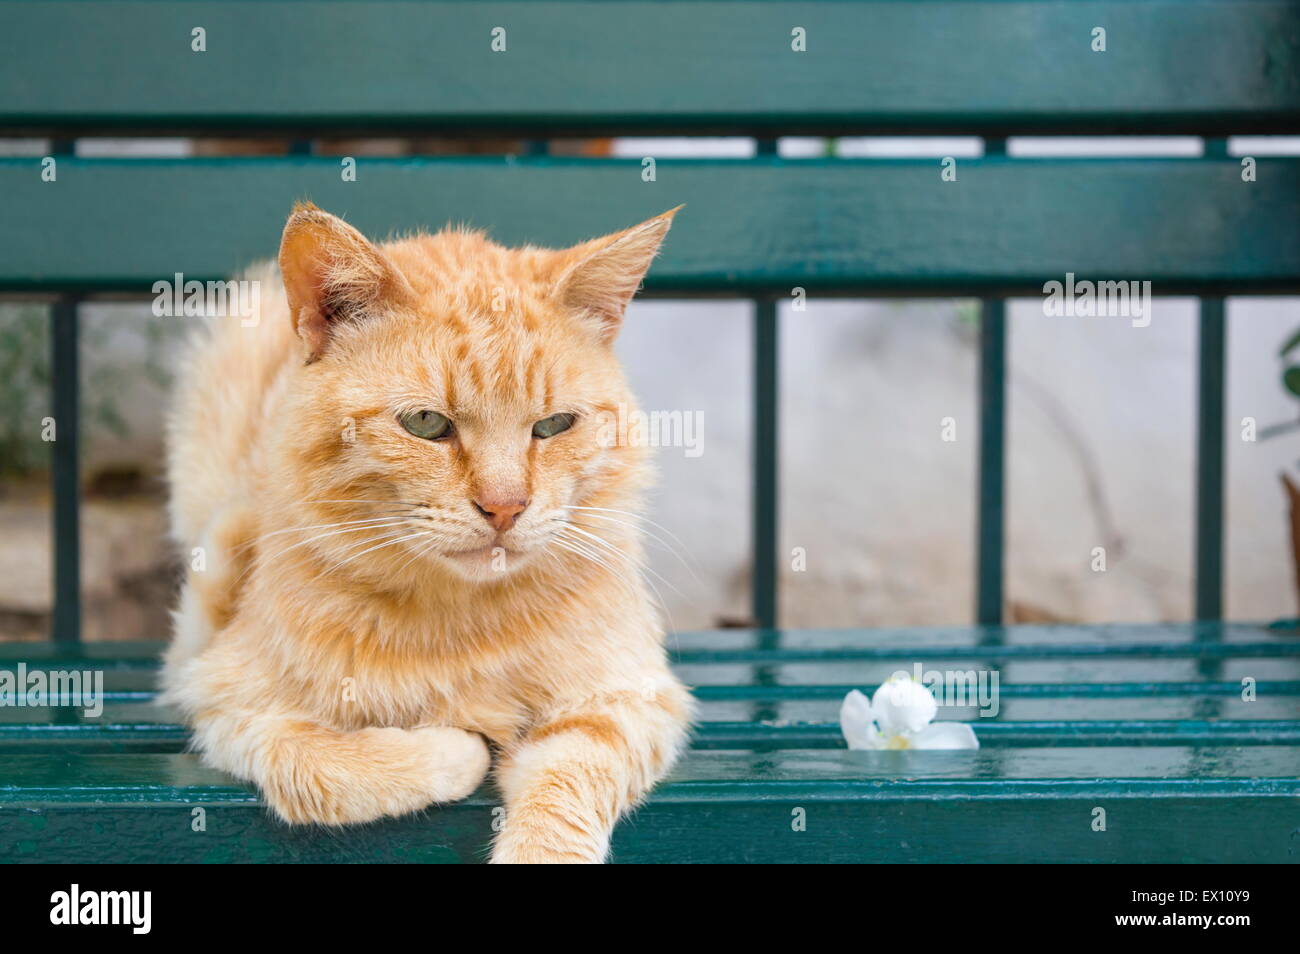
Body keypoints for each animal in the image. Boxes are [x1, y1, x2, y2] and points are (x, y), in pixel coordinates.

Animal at [162, 201, 696, 868]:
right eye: (424, 423)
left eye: (553, 425)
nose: (505, 508)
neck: (459, 620)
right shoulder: (224, 700)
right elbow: (315, 765)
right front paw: (457, 746)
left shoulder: (628, 700)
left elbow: (568, 781)